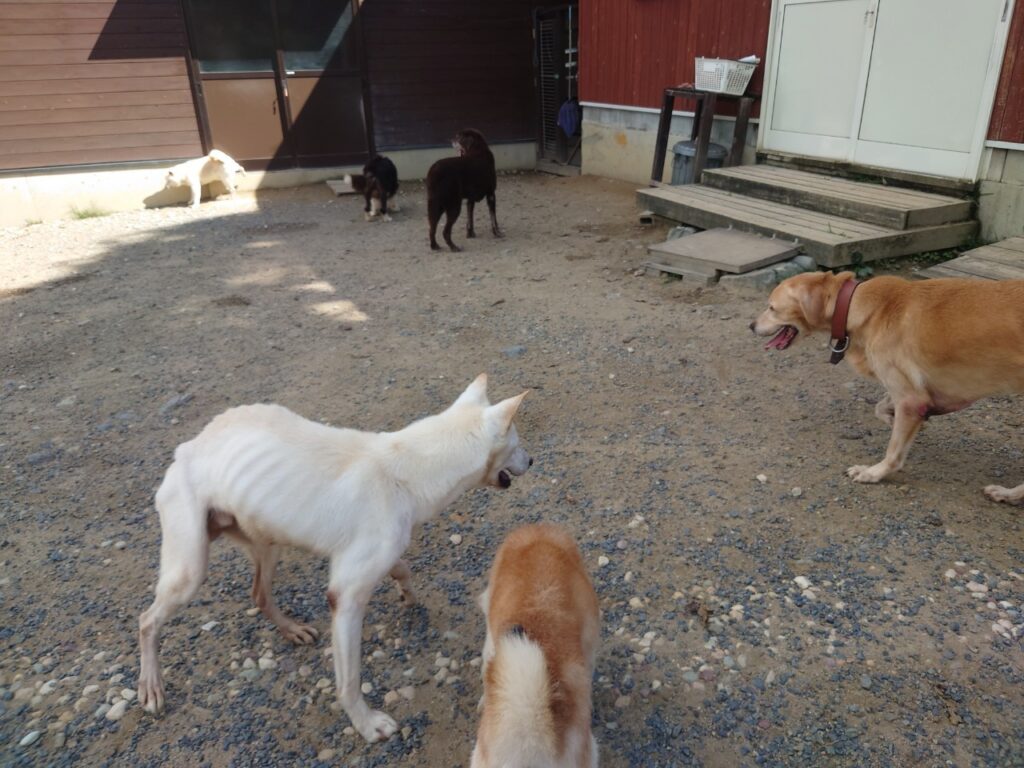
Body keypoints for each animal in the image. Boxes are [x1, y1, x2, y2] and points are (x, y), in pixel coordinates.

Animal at [137, 374, 532, 742]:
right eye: (517, 443)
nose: (532, 459)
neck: (404, 469)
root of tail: (188, 447)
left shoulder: (366, 558)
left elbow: (402, 567)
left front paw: (407, 594)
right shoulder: (346, 597)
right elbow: (349, 680)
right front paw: (367, 724)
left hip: (267, 540)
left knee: (259, 594)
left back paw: (292, 629)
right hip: (190, 569)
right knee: (147, 621)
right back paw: (151, 685)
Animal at [752, 270, 1024, 500]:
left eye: (772, 307)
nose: (750, 326)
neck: (857, 305)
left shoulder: (910, 399)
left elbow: (894, 451)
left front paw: (874, 472)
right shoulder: (910, 393)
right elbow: (881, 408)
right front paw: (898, 421)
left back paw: (1006, 493)